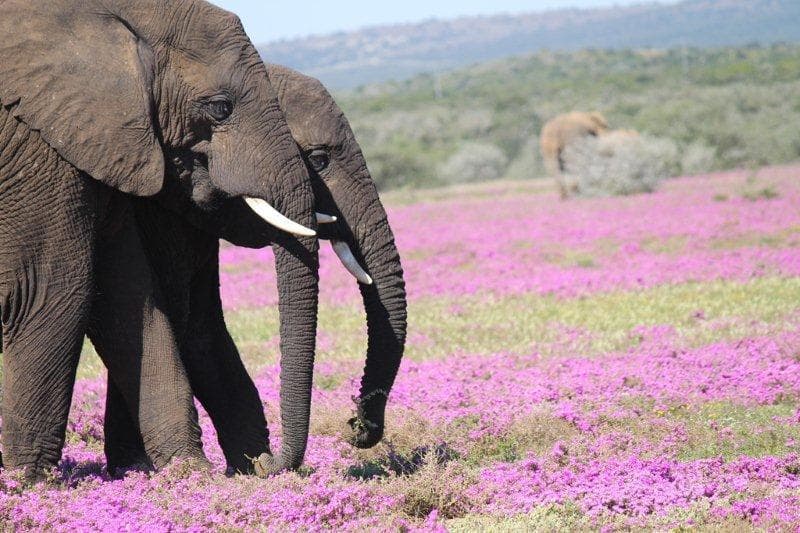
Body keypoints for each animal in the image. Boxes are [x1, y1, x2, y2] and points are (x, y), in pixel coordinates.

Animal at [0, 0, 320, 479]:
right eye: (221, 108)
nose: (266, 464)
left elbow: (130, 297)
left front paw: (188, 474)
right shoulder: (38, 145)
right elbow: (49, 292)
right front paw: (30, 482)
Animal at [96, 64, 408, 476]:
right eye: (318, 160)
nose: (354, 426)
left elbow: (198, 324)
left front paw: (248, 467)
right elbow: (161, 315)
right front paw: (137, 470)